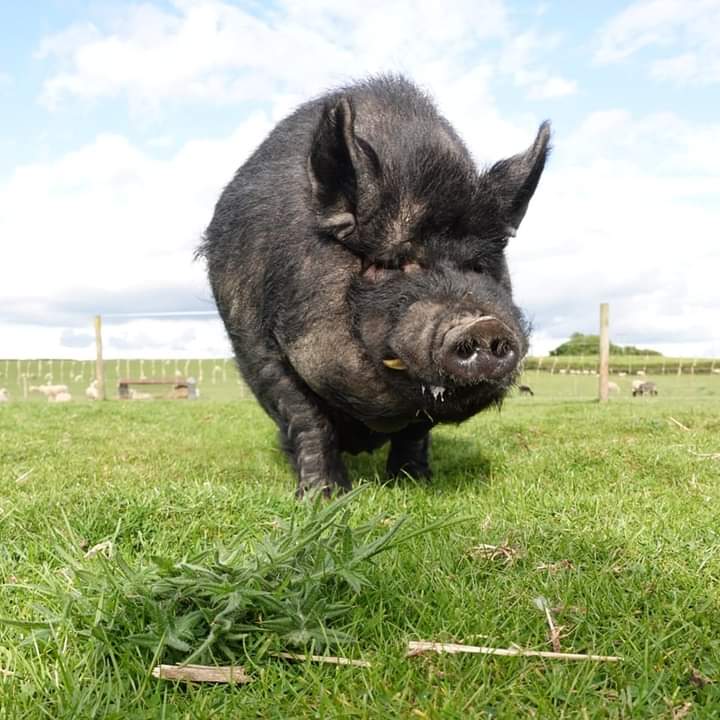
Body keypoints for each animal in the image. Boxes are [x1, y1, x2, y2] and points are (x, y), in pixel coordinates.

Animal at [200, 77, 548, 496]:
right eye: (386, 263)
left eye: (479, 267)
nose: (482, 324)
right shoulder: (260, 349)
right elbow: (307, 417)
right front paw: (322, 497)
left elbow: (417, 429)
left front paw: (414, 483)